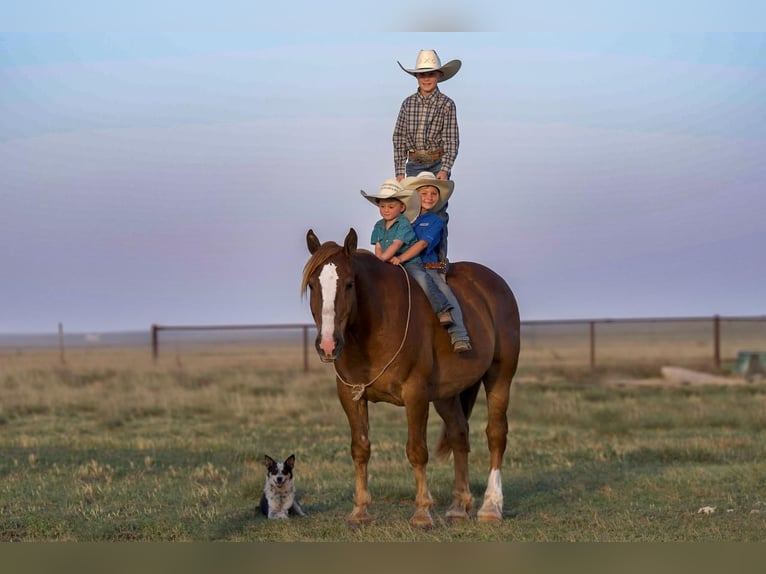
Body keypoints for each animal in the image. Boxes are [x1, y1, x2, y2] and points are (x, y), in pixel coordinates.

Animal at [302, 230, 520, 532]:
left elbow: (417, 451)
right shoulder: (351, 395)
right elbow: (360, 449)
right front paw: (360, 511)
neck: (375, 327)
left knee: (496, 435)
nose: (327, 345)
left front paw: (422, 513)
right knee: (459, 435)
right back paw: (458, 506)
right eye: (313, 285)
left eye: (348, 284)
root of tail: (496, 284)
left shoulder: (415, 394)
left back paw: (491, 507)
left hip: (500, 376)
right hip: (445, 394)